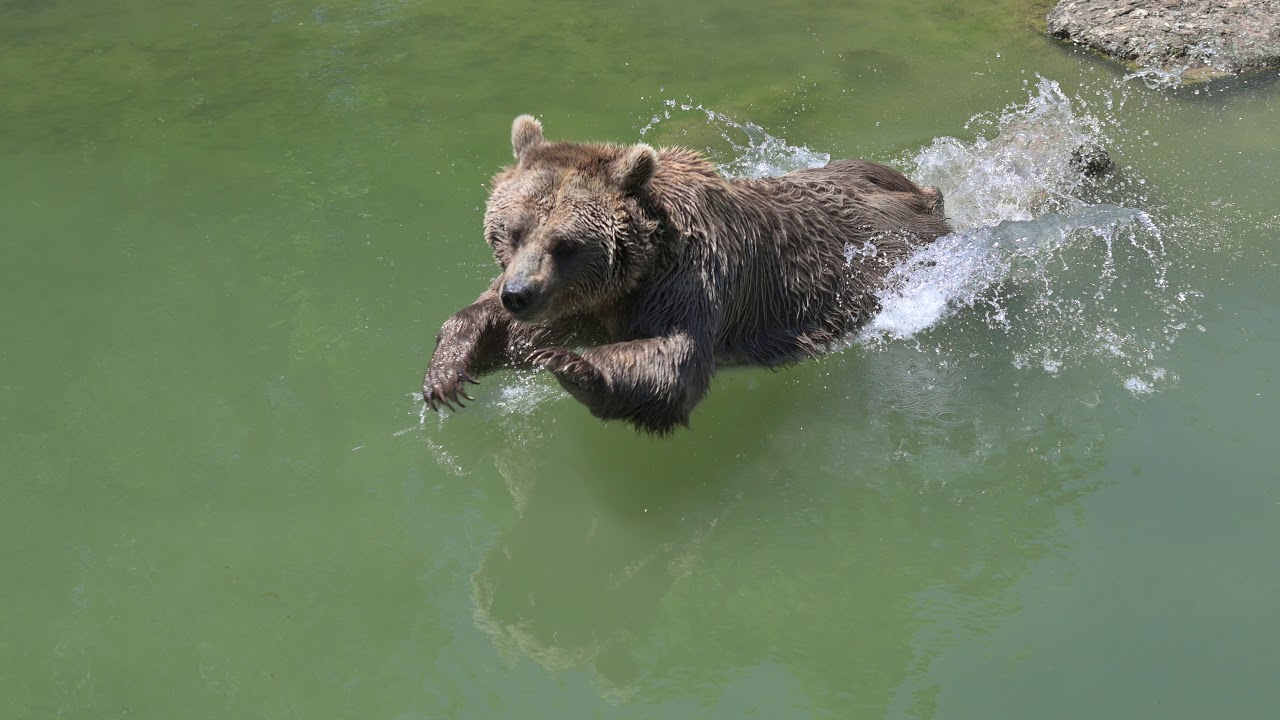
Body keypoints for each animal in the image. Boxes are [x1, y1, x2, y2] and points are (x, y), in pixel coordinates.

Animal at [419, 115, 952, 430]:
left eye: (564, 244)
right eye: (511, 231)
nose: (518, 294)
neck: (635, 272)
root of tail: (915, 189)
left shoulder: (689, 280)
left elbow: (673, 361)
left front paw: (571, 365)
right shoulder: (585, 301)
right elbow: (506, 330)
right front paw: (447, 375)